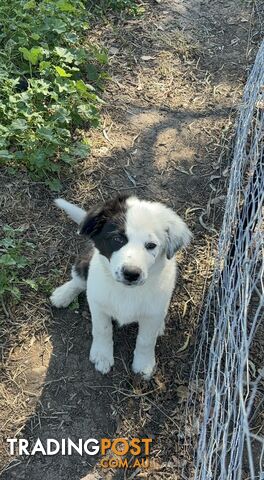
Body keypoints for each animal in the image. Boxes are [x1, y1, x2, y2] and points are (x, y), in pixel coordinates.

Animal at [50, 195, 192, 378]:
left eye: (151, 245)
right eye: (117, 239)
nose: (131, 273)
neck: (127, 291)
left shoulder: (153, 312)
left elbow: (146, 340)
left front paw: (143, 363)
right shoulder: (98, 304)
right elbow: (102, 329)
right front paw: (102, 355)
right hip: (86, 261)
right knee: (79, 279)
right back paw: (63, 294)